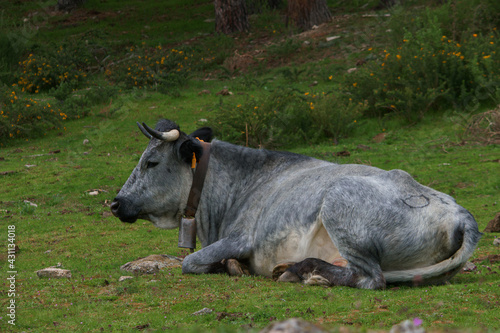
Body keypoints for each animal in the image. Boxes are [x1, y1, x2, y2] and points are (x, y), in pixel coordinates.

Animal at [111, 119, 482, 288]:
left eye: (151, 163)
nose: (115, 203)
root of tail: (459, 213)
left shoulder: (241, 238)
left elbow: (190, 262)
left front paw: (229, 266)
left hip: (338, 204)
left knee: (369, 278)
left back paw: (304, 271)